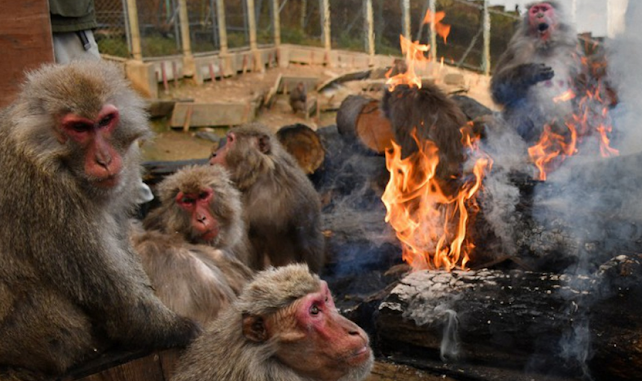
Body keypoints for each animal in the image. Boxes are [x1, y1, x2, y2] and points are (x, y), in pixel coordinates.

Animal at [0, 60, 201, 378]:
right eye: (79, 127)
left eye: (105, 121)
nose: (104, 160)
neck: (50, 152)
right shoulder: (50, 192)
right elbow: (110, 290)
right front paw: (173, 328)